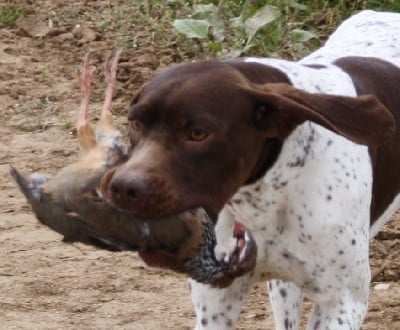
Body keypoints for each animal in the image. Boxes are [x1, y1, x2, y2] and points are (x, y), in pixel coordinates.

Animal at [100, 10, 400, 330]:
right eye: (135, 123)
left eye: (198, 133)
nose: (124, 187)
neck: (265, 196)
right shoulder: (216, 304)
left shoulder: (342, 304)